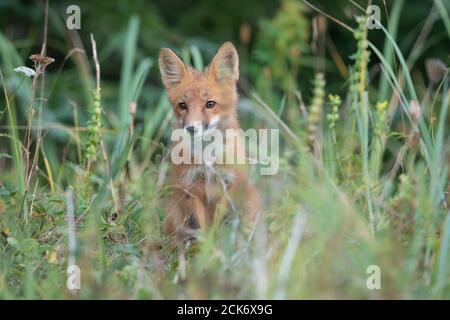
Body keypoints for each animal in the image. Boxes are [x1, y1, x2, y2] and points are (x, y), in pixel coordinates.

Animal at [159, 42, 260, 242]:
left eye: (210, 104)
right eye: (182, 106)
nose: (191, 128)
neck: (208, 159)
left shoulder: (229, 184)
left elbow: (217, 221)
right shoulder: (191, 188)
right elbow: (200, 225)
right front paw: (205, 247)